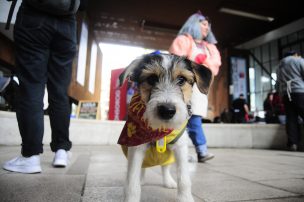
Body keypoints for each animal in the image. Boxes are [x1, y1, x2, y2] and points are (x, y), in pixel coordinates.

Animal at [117, 53, 213, 202]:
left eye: (181, 79)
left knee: (165, 168)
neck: (160, 130)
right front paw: (131, 197)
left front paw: (185, 198)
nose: (167, 110)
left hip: (168, 156)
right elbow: (132, 182)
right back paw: (142, 180)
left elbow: (184, 179)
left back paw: (169, 182)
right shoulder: (136, 149)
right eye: (151, 79)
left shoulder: (180, 148)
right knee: (143, 169)